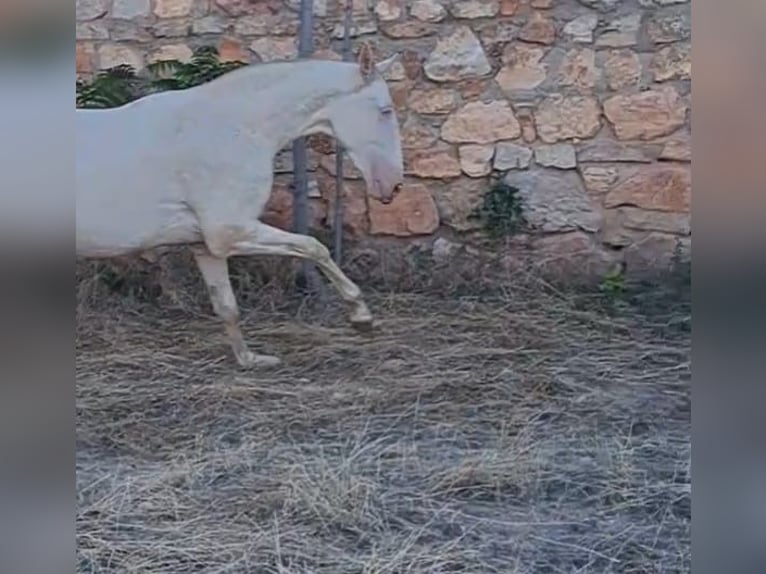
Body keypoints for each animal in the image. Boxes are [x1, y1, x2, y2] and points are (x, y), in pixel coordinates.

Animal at [75, 45, 404, 368]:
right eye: (385, 111)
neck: (235, 130)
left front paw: (251, 360)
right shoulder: (229, 232)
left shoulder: (205, 245)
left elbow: (227, 306)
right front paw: (361, 317)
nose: (394, 186)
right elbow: (314, 247)